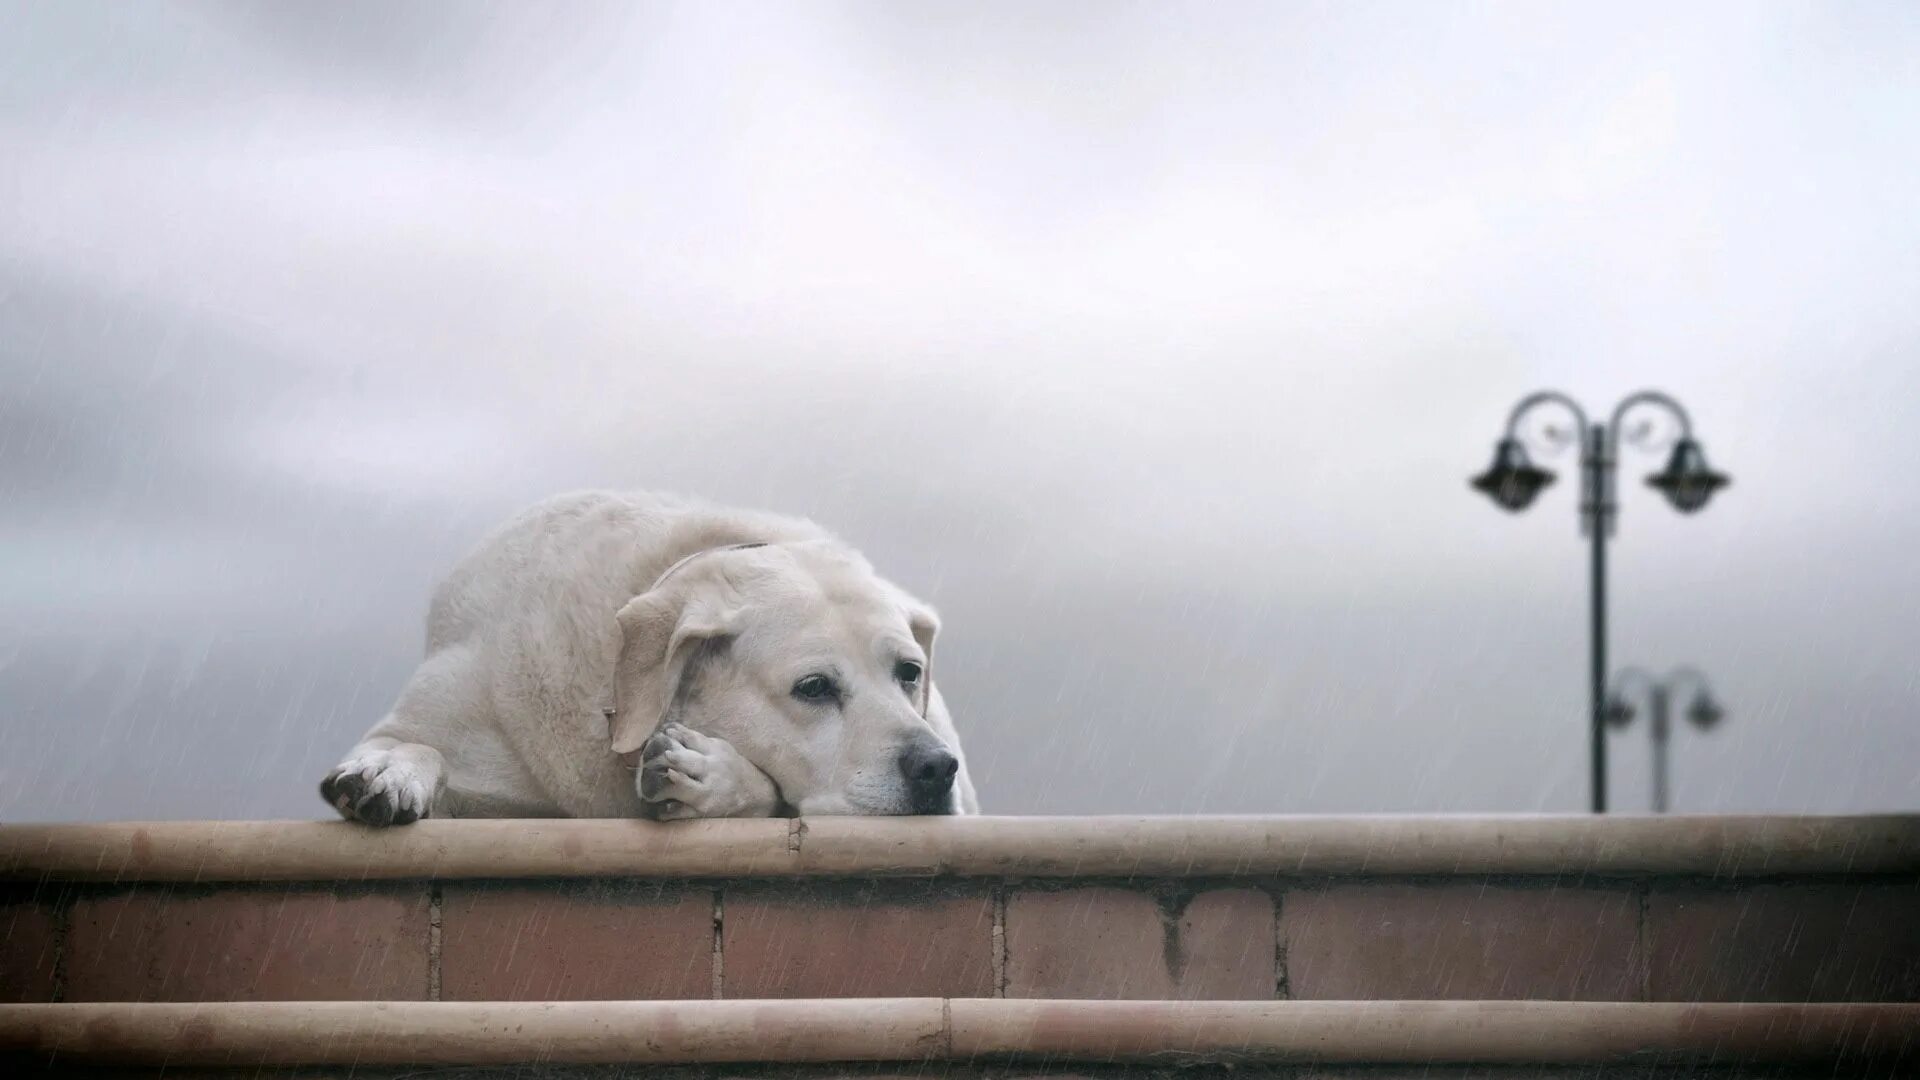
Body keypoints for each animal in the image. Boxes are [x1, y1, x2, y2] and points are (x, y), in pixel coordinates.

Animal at [320, 491, 975, 818]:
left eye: (909, 673)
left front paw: (707, 775)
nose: (934, 768)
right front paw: (388, 771)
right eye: (813, 687)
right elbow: (412, 742)